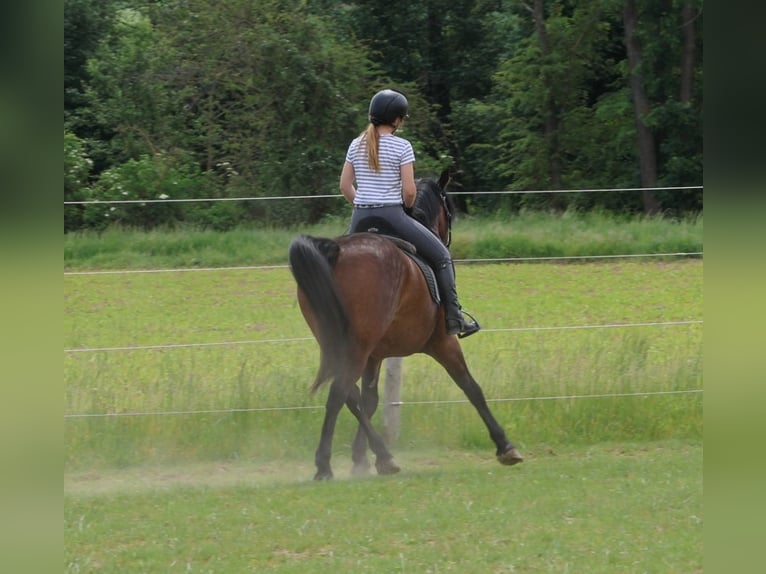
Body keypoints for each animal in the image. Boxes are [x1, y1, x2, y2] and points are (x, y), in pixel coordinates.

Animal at [288, 171, 520, 482]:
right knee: (338, 393)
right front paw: (504, 446)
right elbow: (471, 388)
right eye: (450, 209)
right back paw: (328, 464)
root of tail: (336, 251)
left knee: (348, 395)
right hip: (357, 347)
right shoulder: (443, 344)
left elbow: (370, 400)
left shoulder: (375, 355)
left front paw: (361, 459)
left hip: (340, 344)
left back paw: (379, 456)